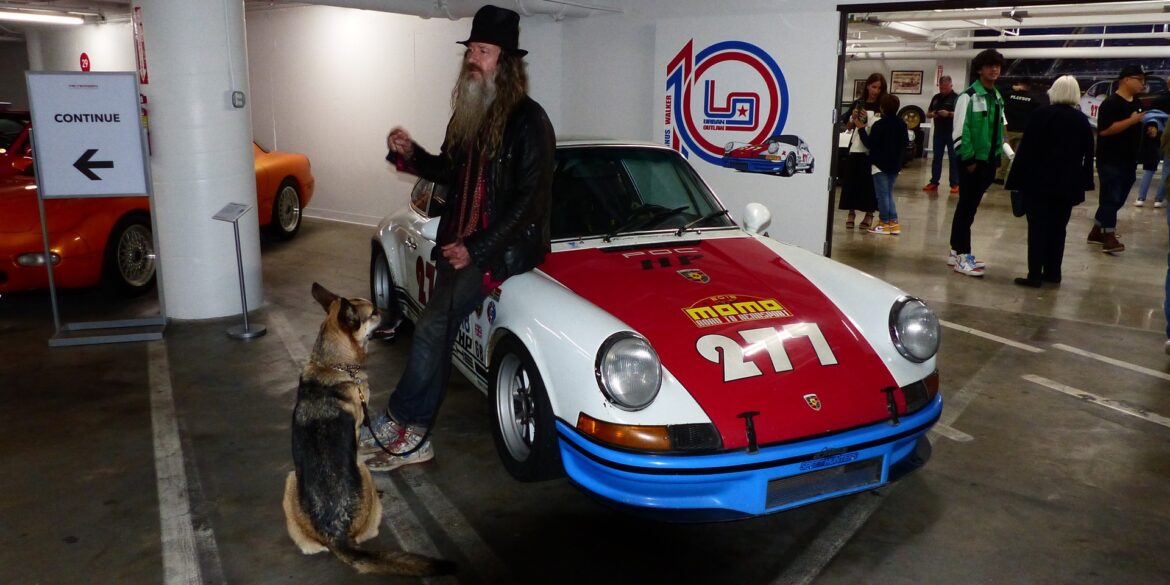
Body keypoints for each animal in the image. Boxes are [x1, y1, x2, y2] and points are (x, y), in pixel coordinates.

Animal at [283, 281, 456, 575]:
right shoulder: (354, 429)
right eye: (374, 312)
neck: (333, 365)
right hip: (337, 474)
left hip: (291, 481)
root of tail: (336, 534)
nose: (401, 315)